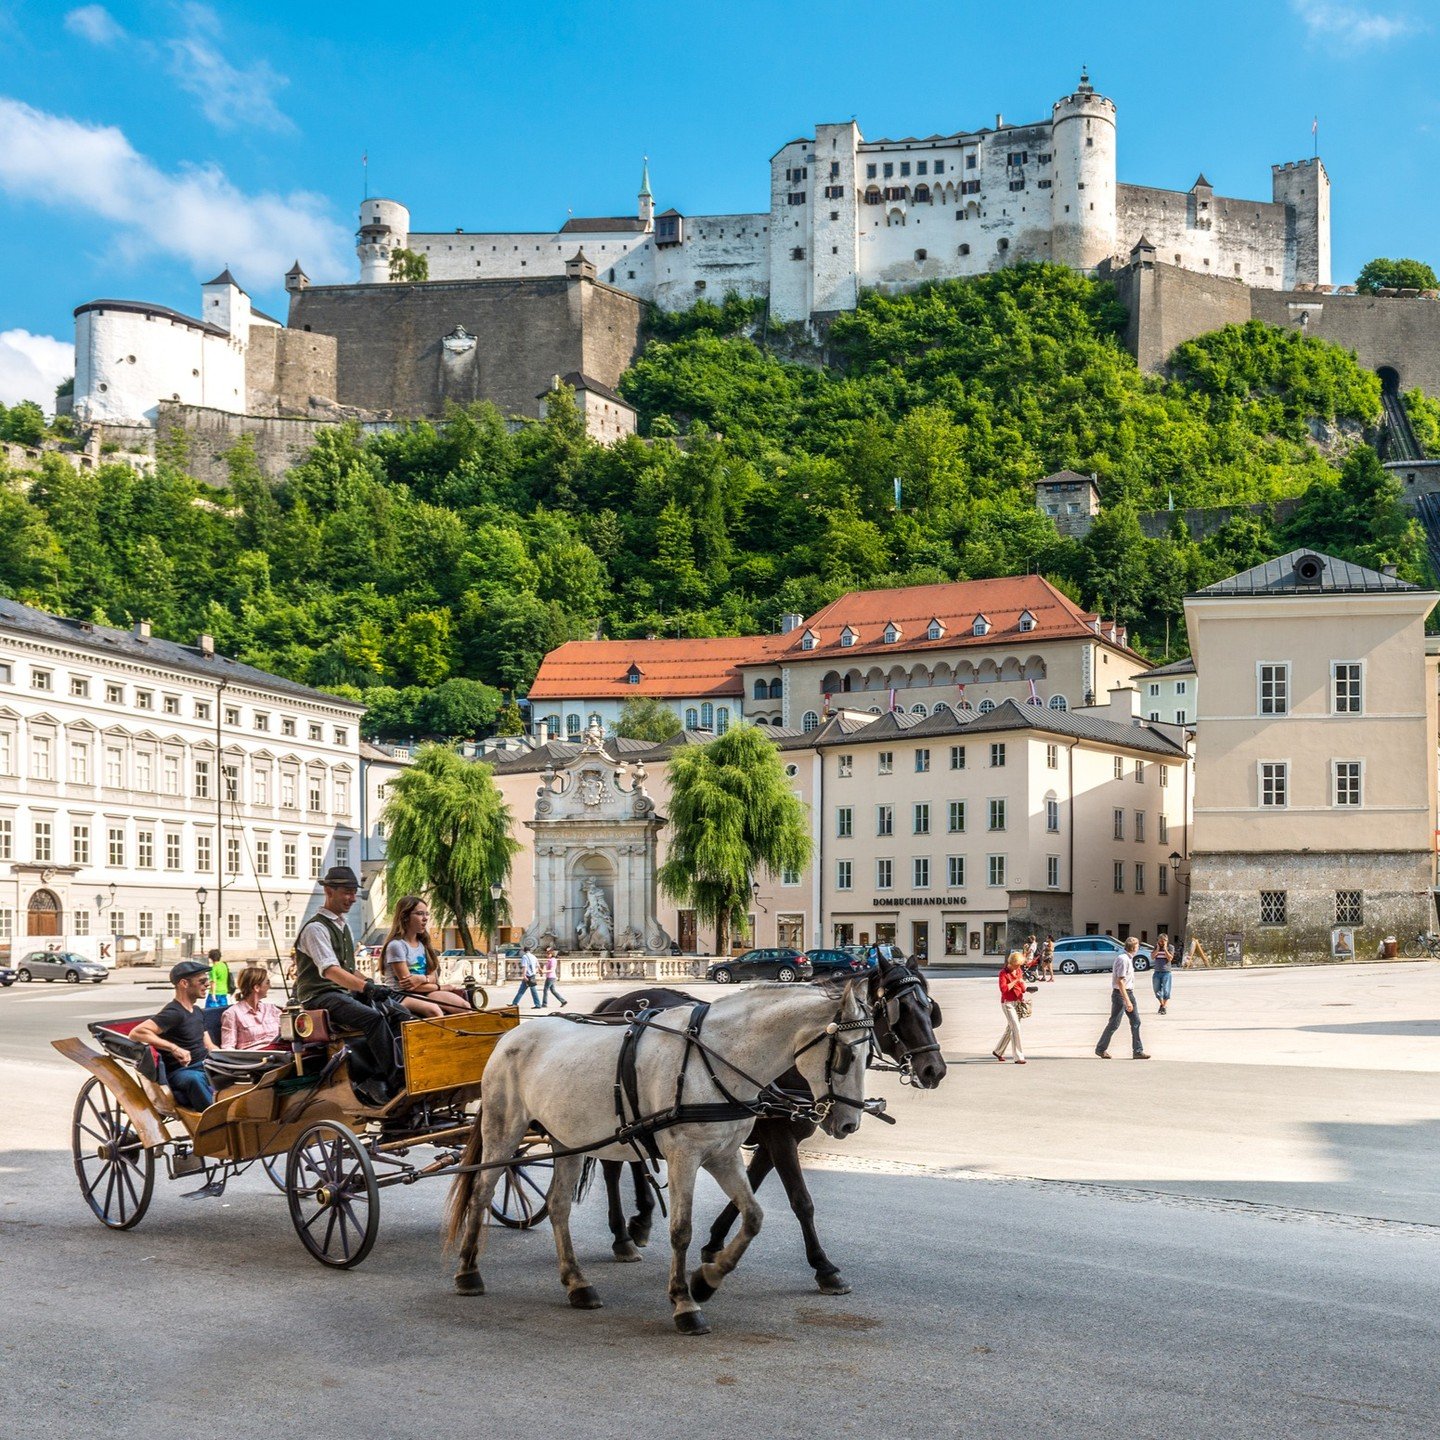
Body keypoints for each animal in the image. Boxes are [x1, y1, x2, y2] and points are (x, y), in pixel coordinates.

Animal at [440, 984, 864, 1330]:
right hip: (503, 1130)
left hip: (565, 1138)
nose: (849, 1123)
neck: (716, 1058)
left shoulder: (723, 1155)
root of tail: (511, 1035)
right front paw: (684, 1302)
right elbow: (681, 1230)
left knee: (558, 1205)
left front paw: (706, 1279)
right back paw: (468, 1272)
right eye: (844, 1056)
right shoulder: (685, 1156)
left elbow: (754, 1217)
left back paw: (577, 1283)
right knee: (481, 1191)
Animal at [590, 956, 938, 1296]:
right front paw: (824, 1267)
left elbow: (750, 1185)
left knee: (635, 1156)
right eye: (901, 1009)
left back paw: (642, 1220)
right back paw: (622, 1236)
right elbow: (801, 1200)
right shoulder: (779, 1137)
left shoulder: (774, 1139)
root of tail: (619, 1002)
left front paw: (714, 1243)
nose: (935, 1069)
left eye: (929, 1008)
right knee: (611, 1168)